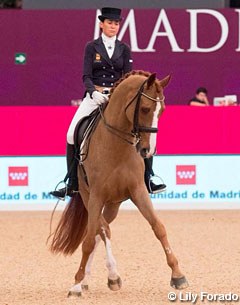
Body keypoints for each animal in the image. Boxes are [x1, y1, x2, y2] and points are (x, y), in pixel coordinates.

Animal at [50, 70, 189, 294]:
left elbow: (158, 227)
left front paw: (178, 275)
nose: (148, 151)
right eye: (145, 108)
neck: (116, 146)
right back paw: (97, 278)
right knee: (100, 230)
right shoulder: (96, 197)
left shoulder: (138, 191)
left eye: (162, 111)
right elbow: (89, 239)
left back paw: (103, 277)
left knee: (101, 230)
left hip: (113, 204)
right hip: (88, 197)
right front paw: (77, 283)